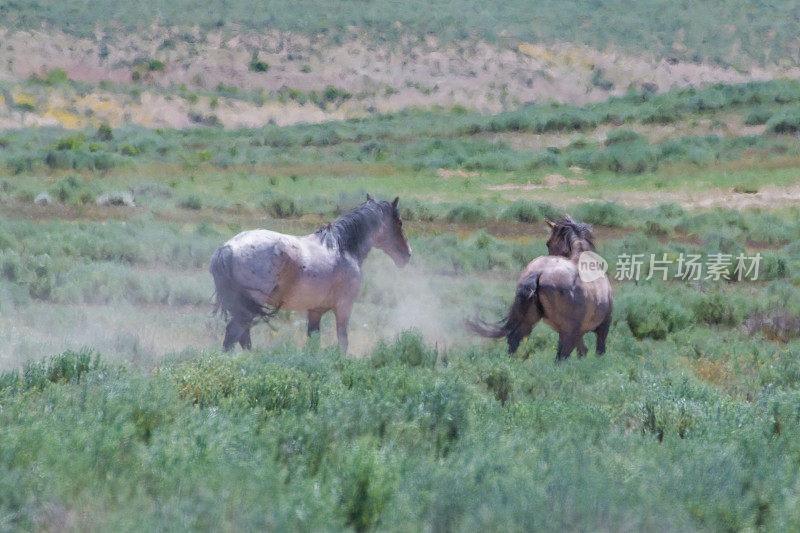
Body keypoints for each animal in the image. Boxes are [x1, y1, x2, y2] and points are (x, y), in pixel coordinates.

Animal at [211, 193, 412, 352]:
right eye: (399, 222)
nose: (407, 254)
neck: (343, 247)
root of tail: (227, 248)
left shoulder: (316, 311)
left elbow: (313, 341)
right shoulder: (344, 307)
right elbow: (343, 340)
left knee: (243, 338)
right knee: (234, 335)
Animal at [468, 214, 612, 360]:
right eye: (548, 243)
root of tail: (539, 272)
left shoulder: (581, 332)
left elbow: (583, 351)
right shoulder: (602, 326)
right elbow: (598, 351)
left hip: (529, 320)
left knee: (514, 340)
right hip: (567, 332)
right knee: (561, 356)